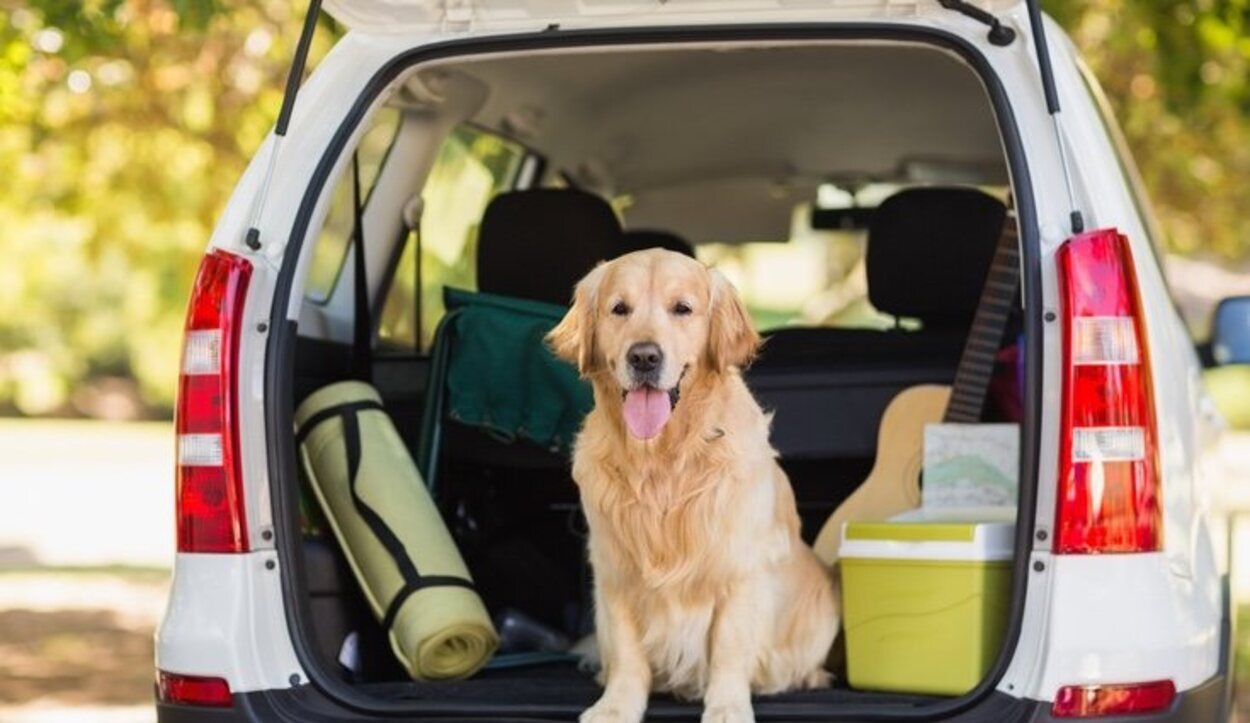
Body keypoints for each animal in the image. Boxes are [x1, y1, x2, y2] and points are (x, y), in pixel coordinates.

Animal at [550, 248, 835, 720]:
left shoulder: (739, 570)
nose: (644, 357)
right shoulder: (614, 570)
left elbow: (729, 649)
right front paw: (616, 707)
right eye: (619, 309)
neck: (663, 460)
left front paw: (727, 708)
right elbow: (627, 653)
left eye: (682, 308)